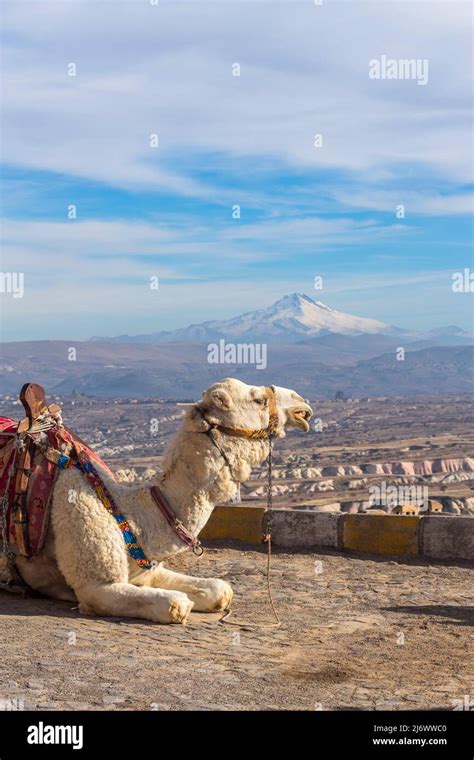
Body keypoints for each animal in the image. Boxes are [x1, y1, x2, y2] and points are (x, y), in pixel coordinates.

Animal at [0, 380, 314, 624]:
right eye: (259, 399)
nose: (301, 404)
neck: (128, 513)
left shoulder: (147, 572)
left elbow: (220, 590)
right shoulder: (96, 587)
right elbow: (177, 604)